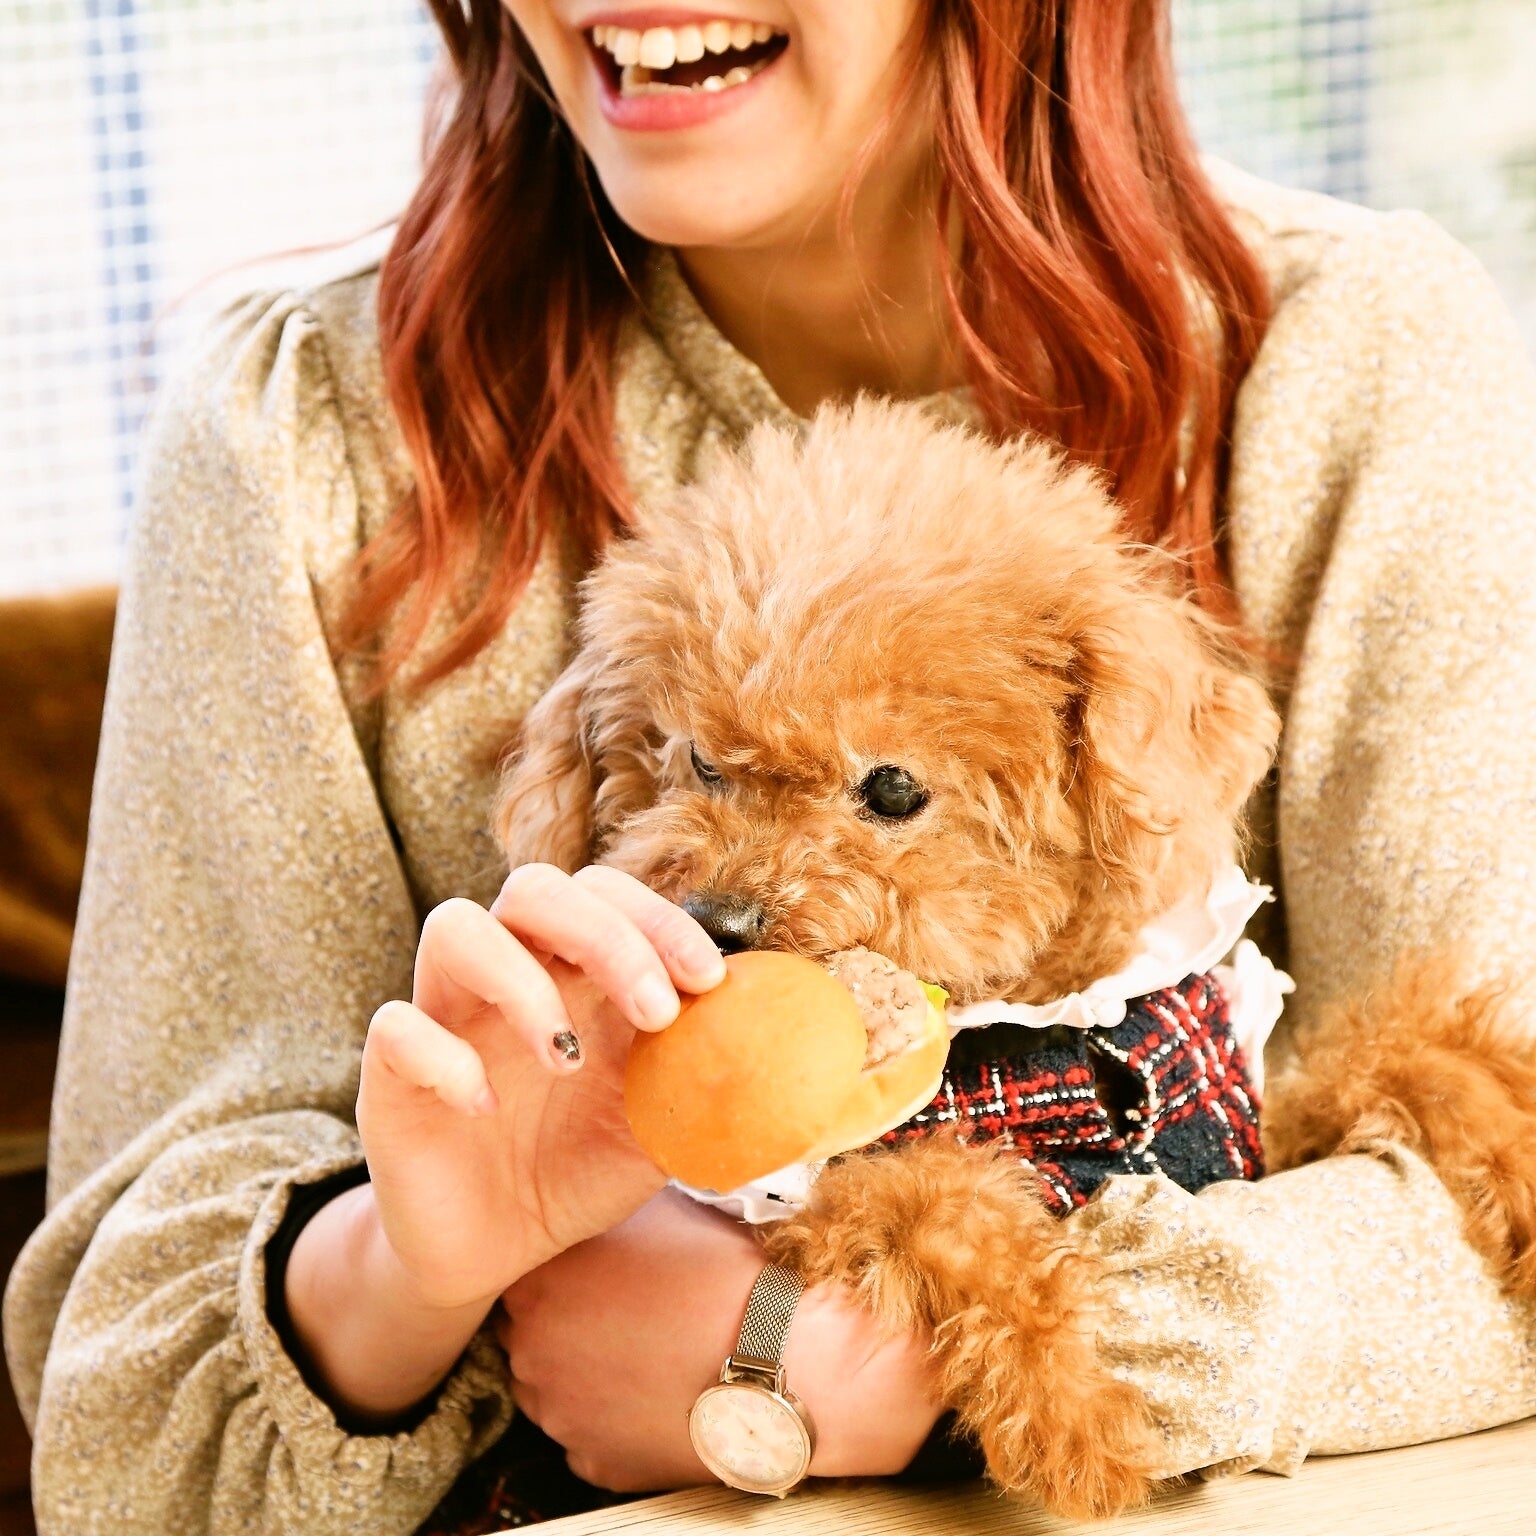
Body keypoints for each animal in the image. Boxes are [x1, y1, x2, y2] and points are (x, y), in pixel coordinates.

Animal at [494, 399, 1536, 1515]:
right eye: (697, 761)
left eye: (892, 788)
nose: (720, 918)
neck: (1055, 1029)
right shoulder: (820, 1201)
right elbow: (950, 1202)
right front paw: (1069, 1404)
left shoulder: (1240, 1122)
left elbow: (1399, 1056)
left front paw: (1511, 1139)